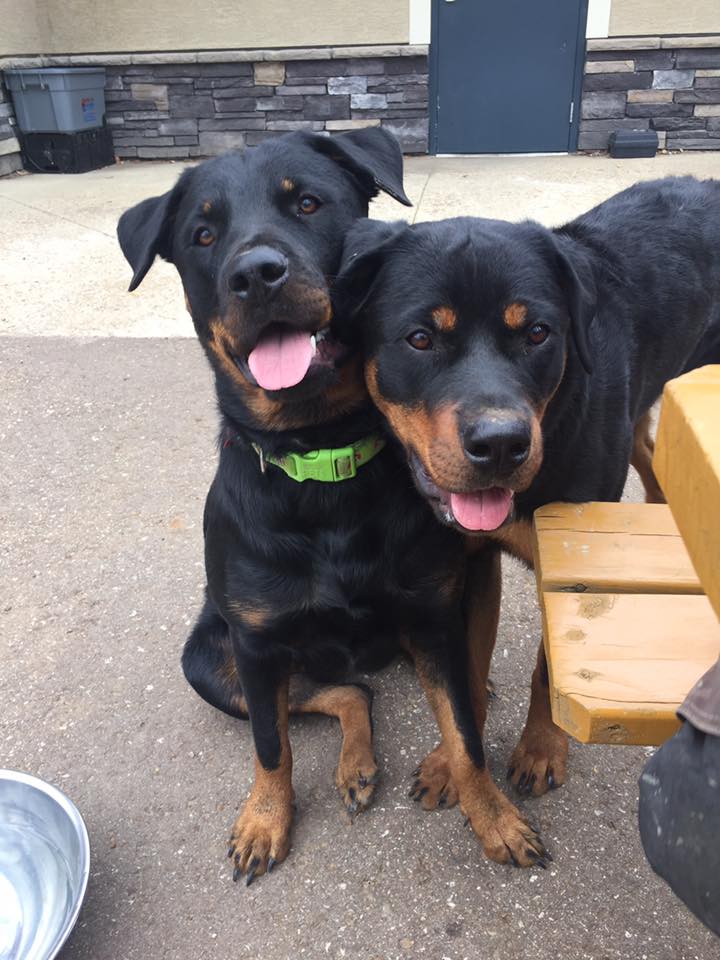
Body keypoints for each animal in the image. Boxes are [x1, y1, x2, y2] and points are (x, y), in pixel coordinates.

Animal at [118, 129, 548, 884]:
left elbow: (465, 736)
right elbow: (271, 747)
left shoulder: (433, 615)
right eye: (204, 234)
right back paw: (353, 763)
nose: (256, 274)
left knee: (384, 688)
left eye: (308, 203)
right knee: (341, 693)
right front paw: (266, 818)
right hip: (207, 660)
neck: (320, 464)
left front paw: (492, 815)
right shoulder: (255, 646)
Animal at [336, 174, 720, 804]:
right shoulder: (469, 560)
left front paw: (541, 749)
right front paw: (453, 762)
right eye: (420, 339)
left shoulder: (566, 560)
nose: (499, 444)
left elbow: (546, 668)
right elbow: (466, 668)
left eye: (538, 333)